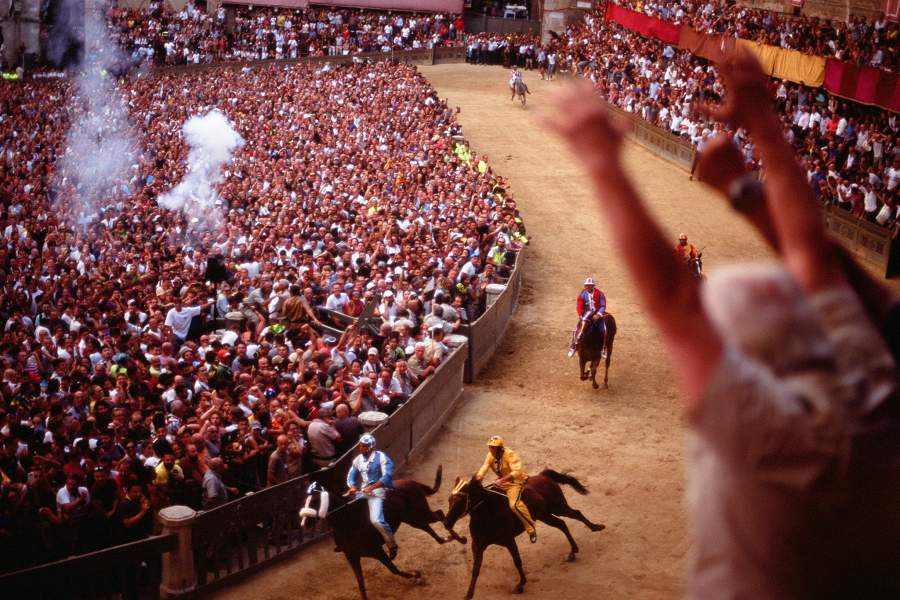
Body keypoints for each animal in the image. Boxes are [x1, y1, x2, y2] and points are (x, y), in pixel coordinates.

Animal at [300, 465, 465, 600]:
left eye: (315, 501)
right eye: (306, 500)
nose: (304, 523)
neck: (349, 521)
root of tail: (411, 483)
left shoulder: (377, 551)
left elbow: (394, 569)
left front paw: (416, 575)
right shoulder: (352, 556)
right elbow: (361, 584)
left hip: (419, 513)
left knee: (440, 514)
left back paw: (460, 538)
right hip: (413, 518)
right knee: (431, 528)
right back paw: (447, 538)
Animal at [445, 470, 605, 599]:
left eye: (460, 501)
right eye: (449, 500)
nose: (446, 523)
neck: (488, 513)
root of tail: (543, 475)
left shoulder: (509, 540)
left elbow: (517, 561)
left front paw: (520, 585)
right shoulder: (477, 545)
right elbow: (475, 569)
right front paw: (468, 594)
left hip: (558, 507)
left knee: (576, 514)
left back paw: (596, 528)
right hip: (545, 515)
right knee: (562, 524)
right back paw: (572, 551)